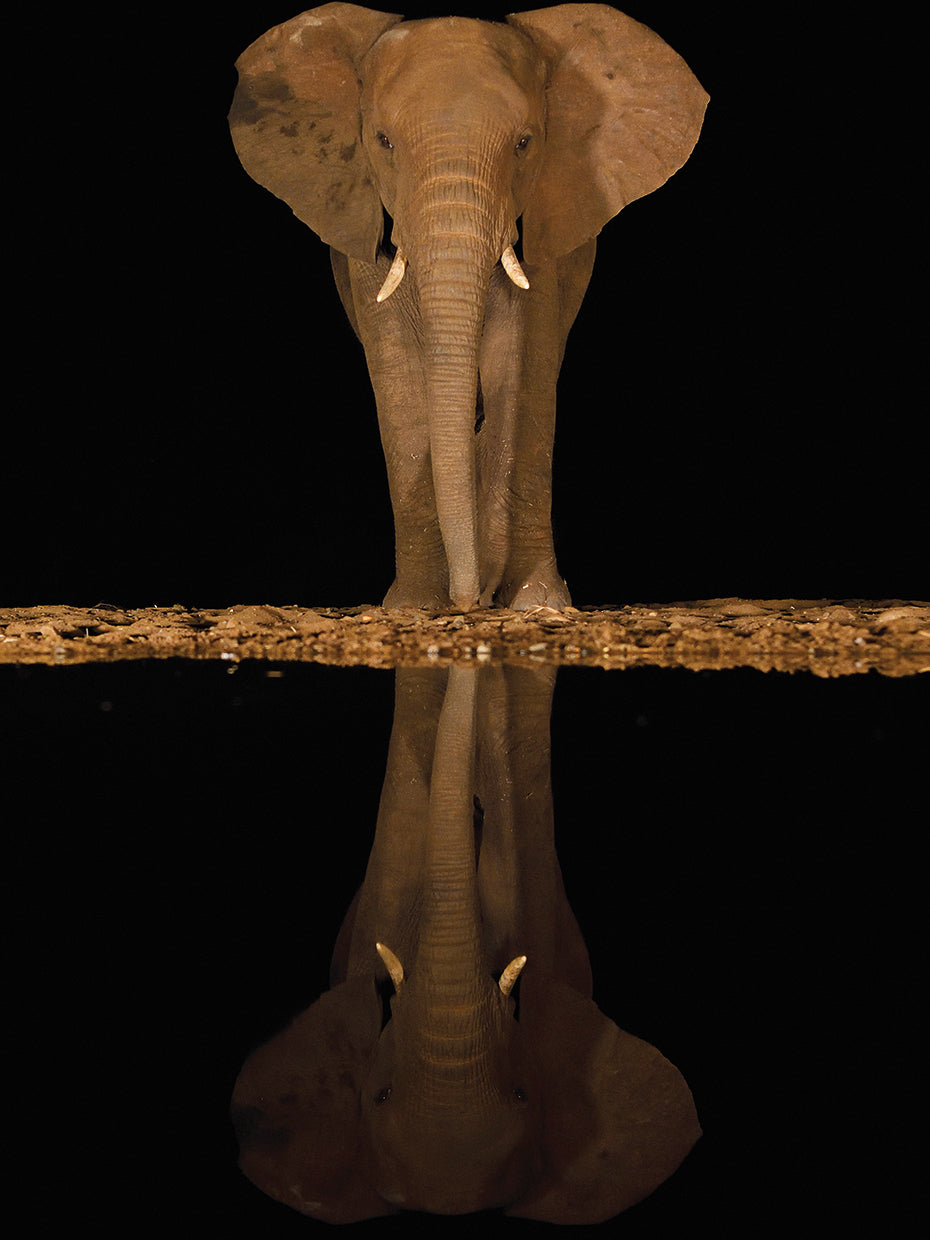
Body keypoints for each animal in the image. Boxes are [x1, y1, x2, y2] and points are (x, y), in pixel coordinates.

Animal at [228, 4, 708, 612]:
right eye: (382, 141)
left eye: (525, 143)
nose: (473, 598)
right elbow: (397, 371)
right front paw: (415, 606)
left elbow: (524, 359)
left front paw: (537, 604)